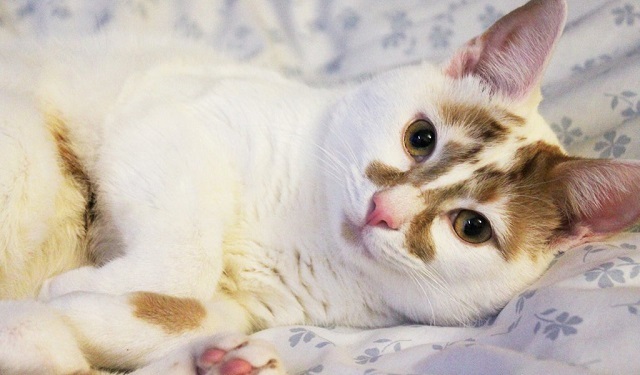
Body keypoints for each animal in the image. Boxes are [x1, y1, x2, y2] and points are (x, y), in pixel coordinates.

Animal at [1, 0, 640, 374]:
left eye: (472, 227)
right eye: (421, 138)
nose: (384, 209)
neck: (307, 235)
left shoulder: (249, 306)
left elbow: (186, 311)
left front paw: (77, 300)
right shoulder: (169, 117)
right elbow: (189, 258)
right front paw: (71, 287)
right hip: (26, 157)